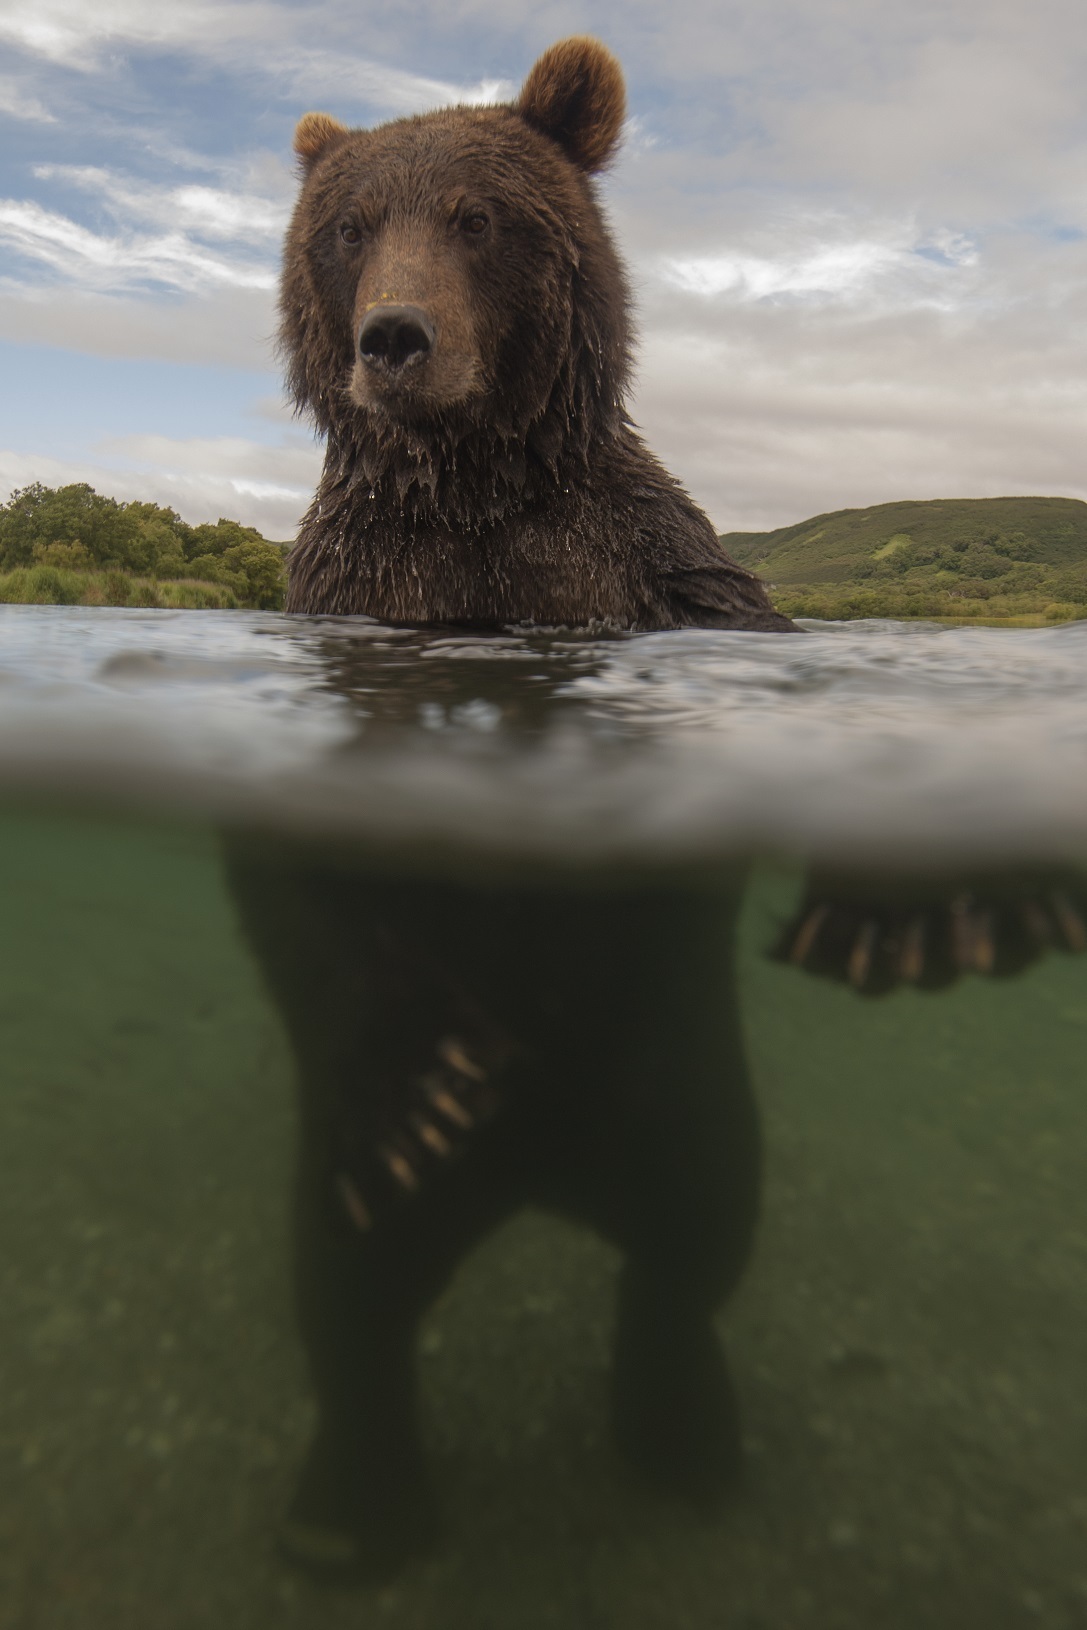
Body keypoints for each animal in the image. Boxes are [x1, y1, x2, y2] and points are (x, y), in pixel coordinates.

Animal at [277, 36, 795, 635]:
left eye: (475, 218)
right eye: (351, 229)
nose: (393, 336)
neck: (471, 489)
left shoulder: (644, 559)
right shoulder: (356, 568)